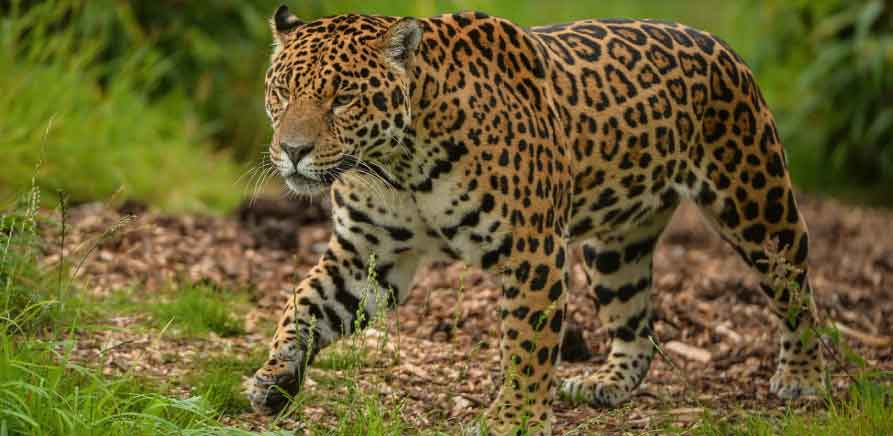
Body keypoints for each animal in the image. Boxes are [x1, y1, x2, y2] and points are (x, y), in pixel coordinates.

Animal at [246, 5, 824, 434]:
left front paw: (515, 418)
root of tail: (715, 42)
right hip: (616, 249)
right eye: (283, 93)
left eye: (343, 99)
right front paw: (275, 377)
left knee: (795, 290)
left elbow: (529, 342)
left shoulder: (532, 251)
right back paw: (606, 382)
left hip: (757, 203)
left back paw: (803, 375)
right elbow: (303, 306)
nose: (292, 151)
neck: (398, 165)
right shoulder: (368, 255)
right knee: (636, 324)